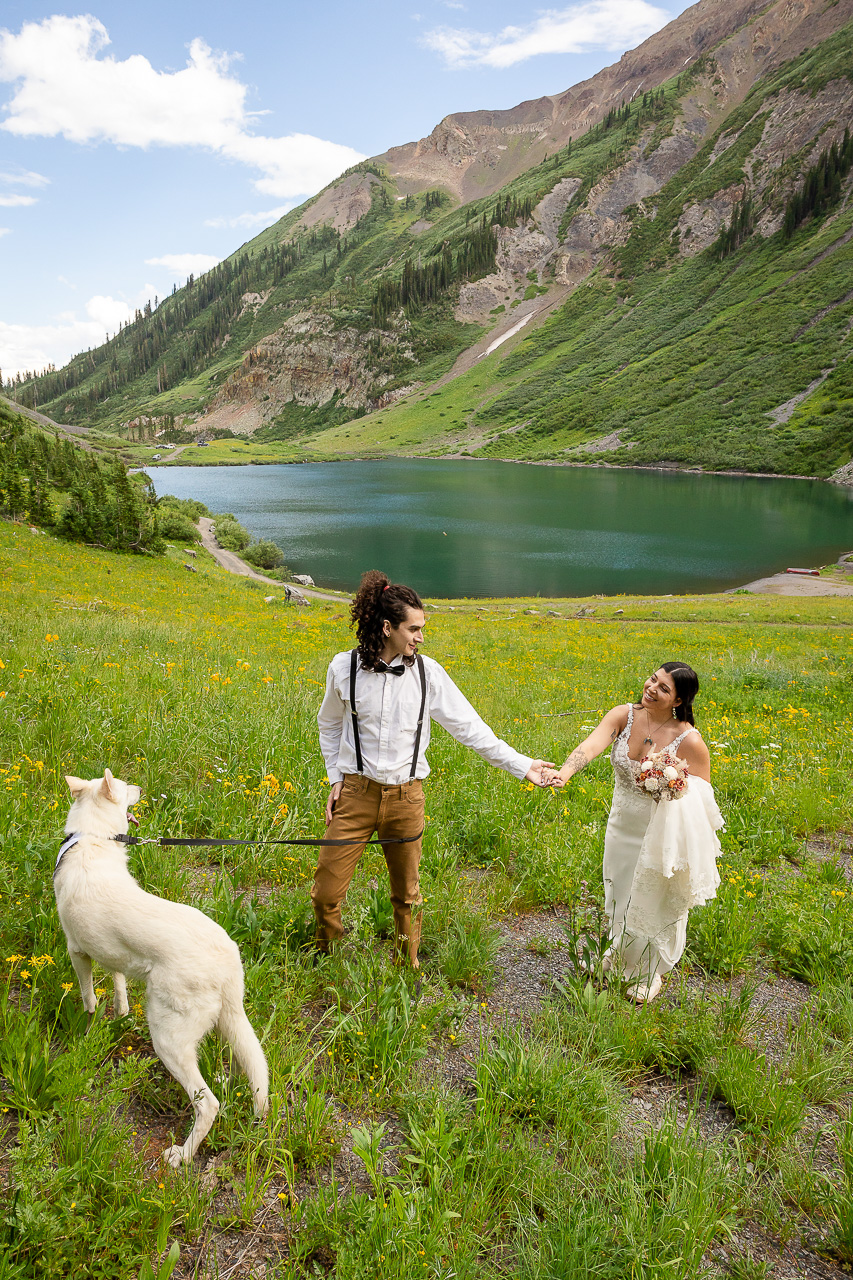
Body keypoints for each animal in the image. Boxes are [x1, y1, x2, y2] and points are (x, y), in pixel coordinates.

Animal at [55, 762, 267, 1167]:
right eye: (127, 789)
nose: (140, 787)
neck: (92, 839)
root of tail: (226, 956)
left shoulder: (78, 953)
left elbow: (89, 1001)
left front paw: (88, 1030)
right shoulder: (112, 955)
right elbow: (119, 986)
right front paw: (120, 1016)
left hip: (168, 1040)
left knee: (208, 1105)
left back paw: (181, 1156)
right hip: (227, 1022)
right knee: (244, 1064)